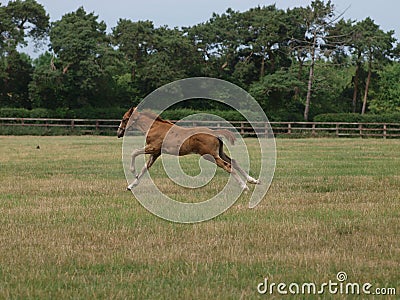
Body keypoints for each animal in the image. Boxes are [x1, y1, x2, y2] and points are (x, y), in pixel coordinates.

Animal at [117, 108, 260, 191]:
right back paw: (253, 180)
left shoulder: (152, 148)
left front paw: (133, 172)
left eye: (124, 119)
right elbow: (145, 168)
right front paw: (131, 186)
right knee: (233, 161)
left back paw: (244, 186)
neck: (153, 128)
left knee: (227, 165)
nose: (118, 133)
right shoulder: (156, 153)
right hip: (218, 152)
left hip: (209, 155)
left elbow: (134, 152)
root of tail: (214, 132)